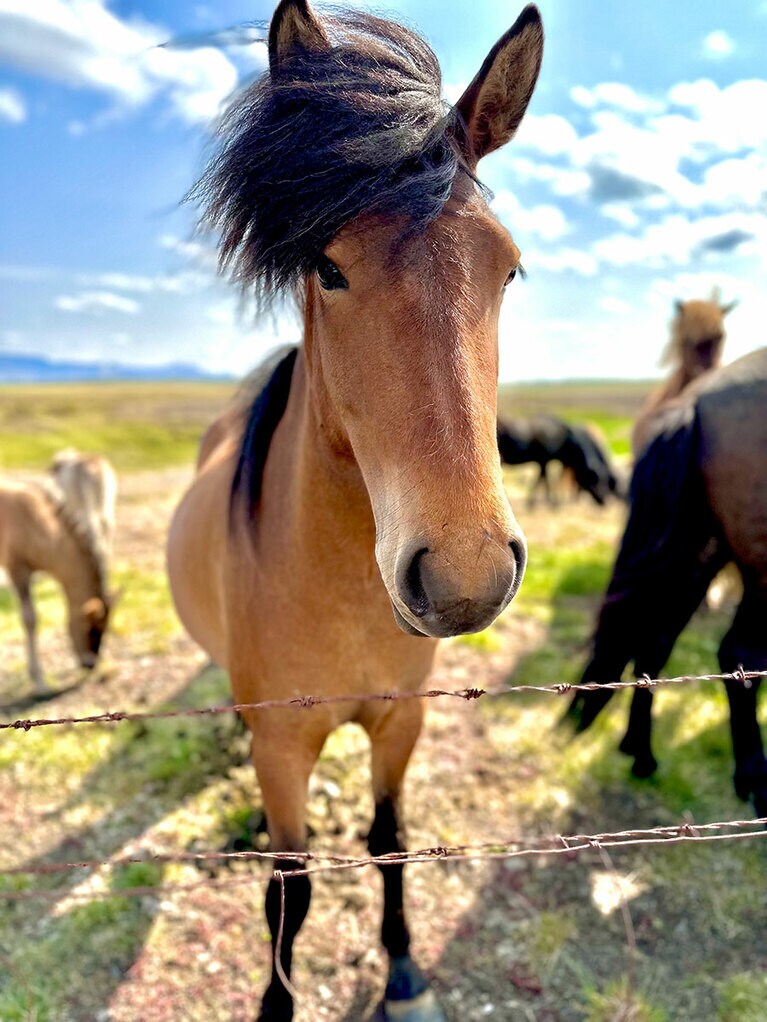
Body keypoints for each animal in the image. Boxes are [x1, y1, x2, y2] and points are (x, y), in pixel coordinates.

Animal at [0, 474, 114, 694]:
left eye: (106, 629)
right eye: (92, 629)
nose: (90, 664)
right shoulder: (17, 569)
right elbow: (30, 619)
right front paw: (40, 682)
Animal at [167, 2, 544, 1019]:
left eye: (507, 269)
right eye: (327, 268)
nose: (463, 576)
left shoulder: (399, 721)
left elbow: (387, 841)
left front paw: (405, 973)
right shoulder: (285, 744)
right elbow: (289, 884)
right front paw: (276, 1004)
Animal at [565, 347, 767, 819]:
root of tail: (695, 402)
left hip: (696, 553)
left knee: (653, 643)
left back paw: (640, 753)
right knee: (740, 654)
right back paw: (754, 780)